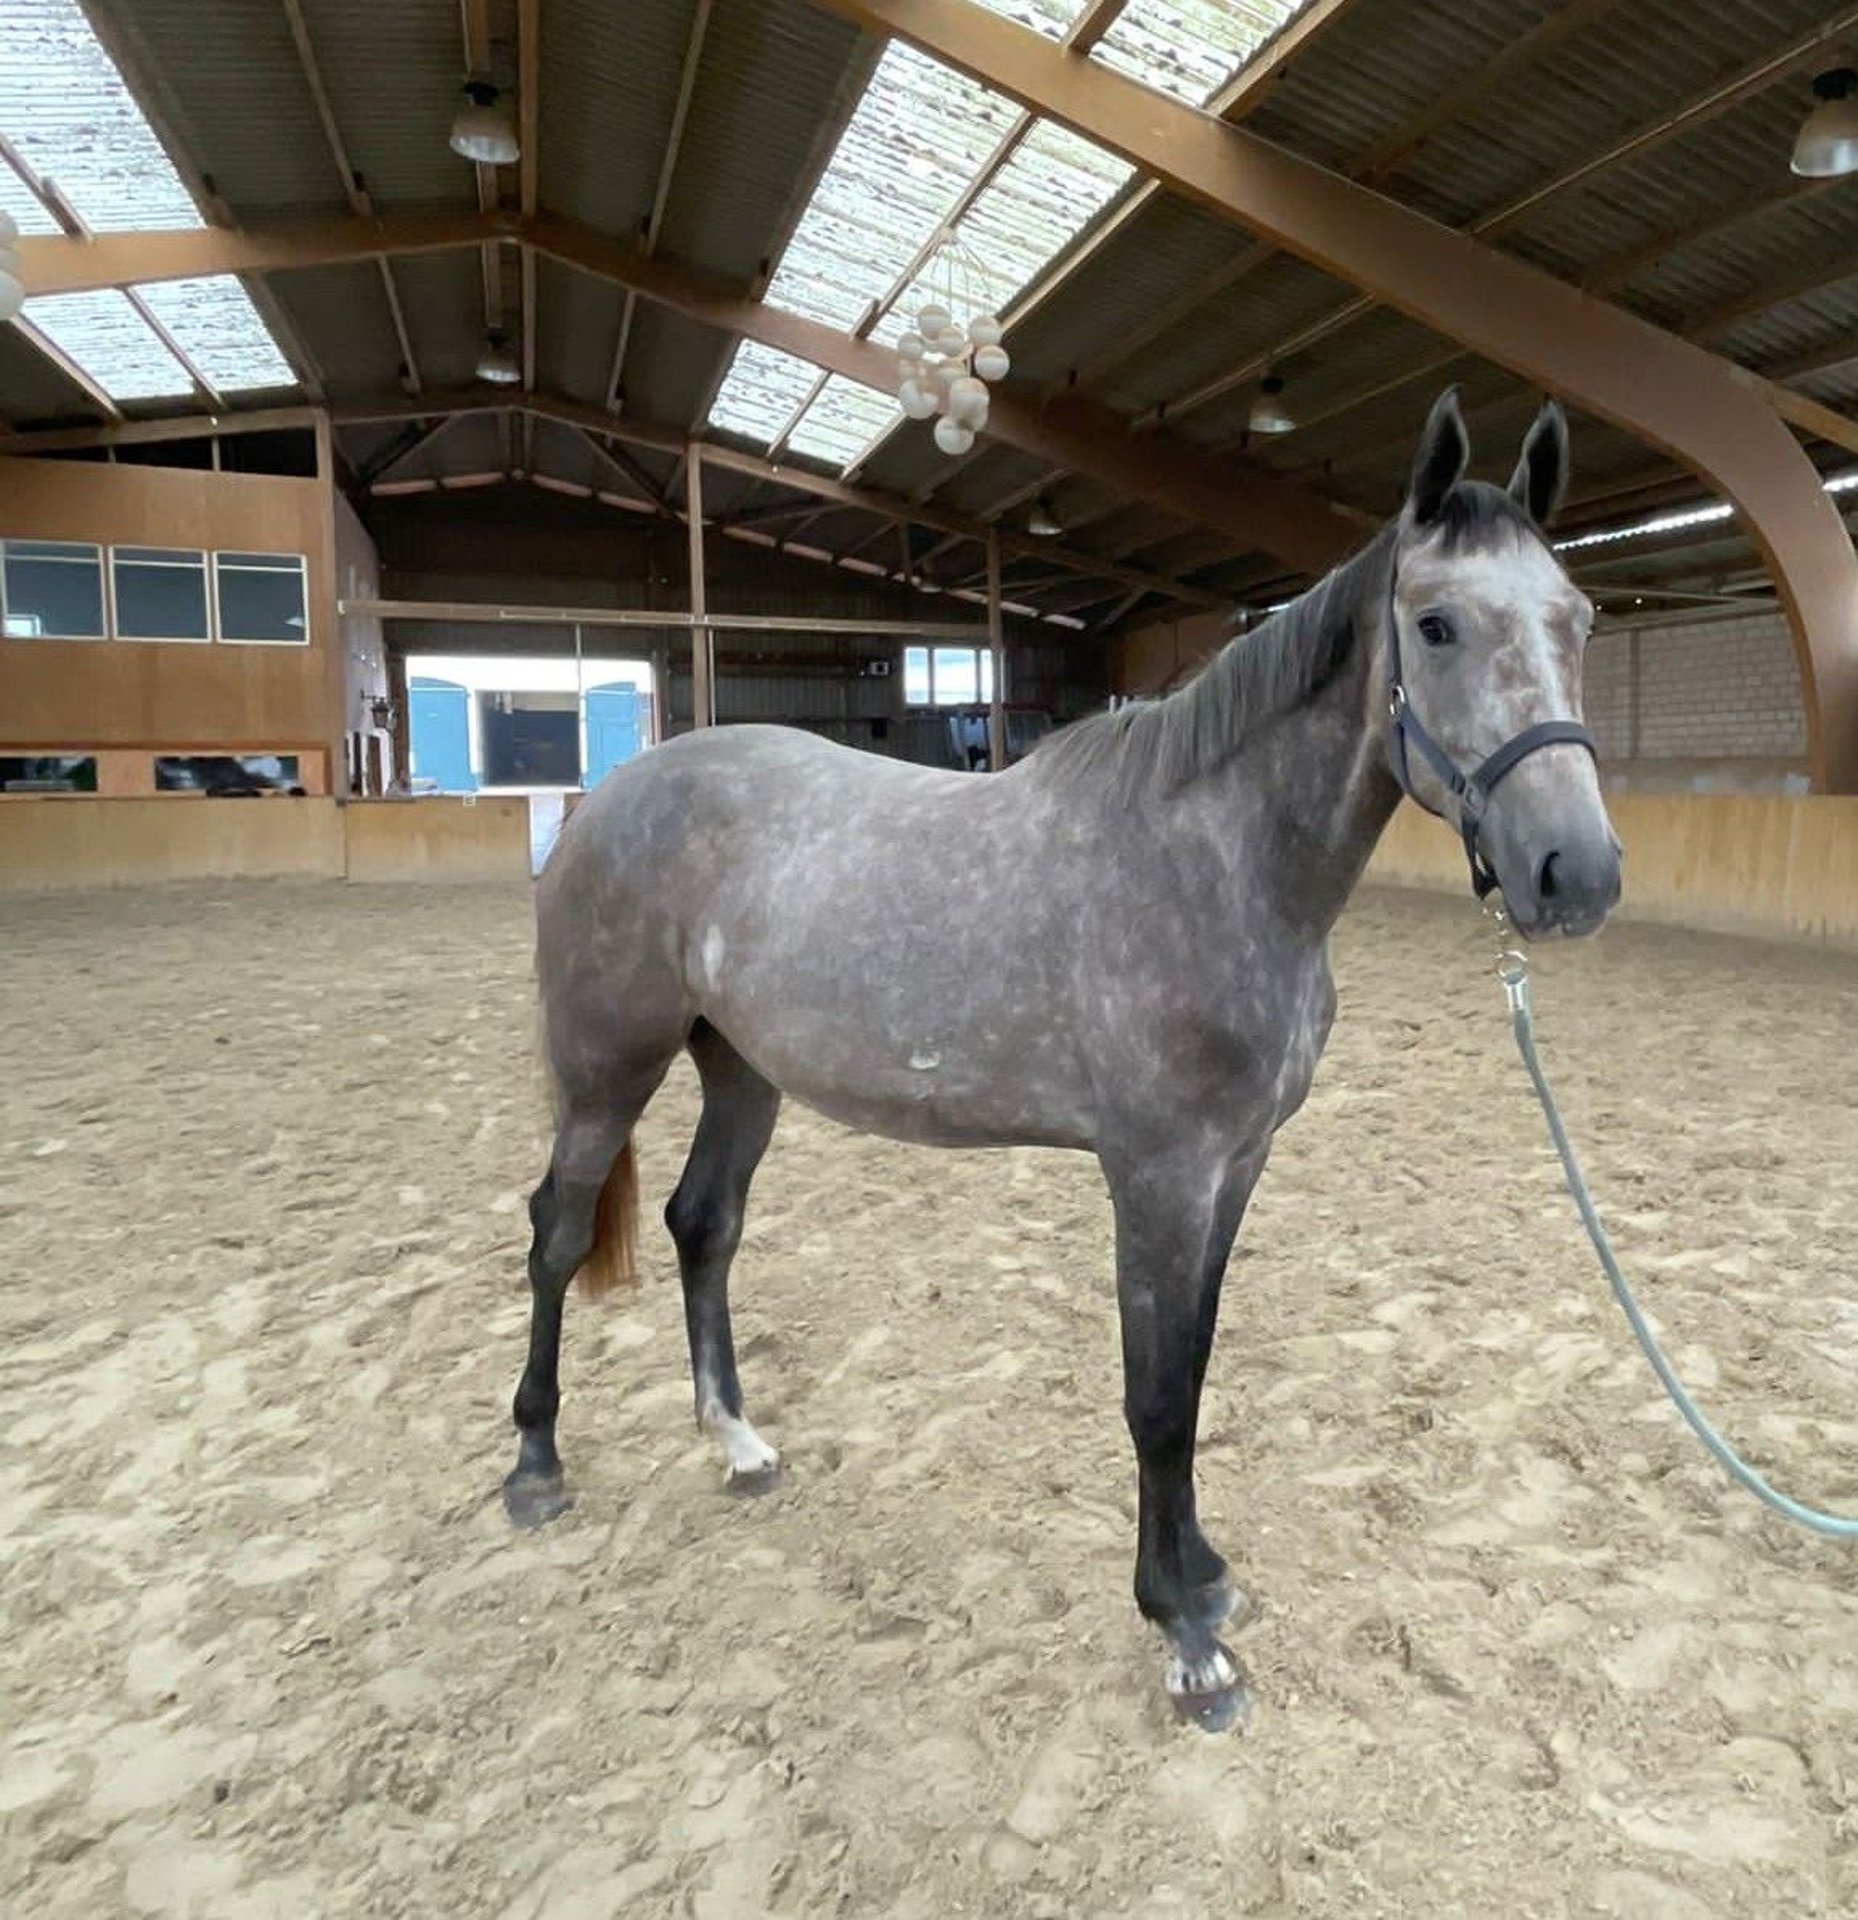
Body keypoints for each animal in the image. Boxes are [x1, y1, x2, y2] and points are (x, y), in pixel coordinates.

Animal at [501, 388, 1621, 1730]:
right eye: (1437, 623)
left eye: (1579, 619)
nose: (1575, 873)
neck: (1220, 862)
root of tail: (611, 793)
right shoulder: (1156, 1175)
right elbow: (1155, 1396)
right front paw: (1185, 1637)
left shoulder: (1234, 1168)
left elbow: (1192, 1370)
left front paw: (1203, 1576)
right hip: (609, 1068)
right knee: (557, 1232)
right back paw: (535, 1466)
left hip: (742, 1071)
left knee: (700, 1223)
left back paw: (737, 1441)